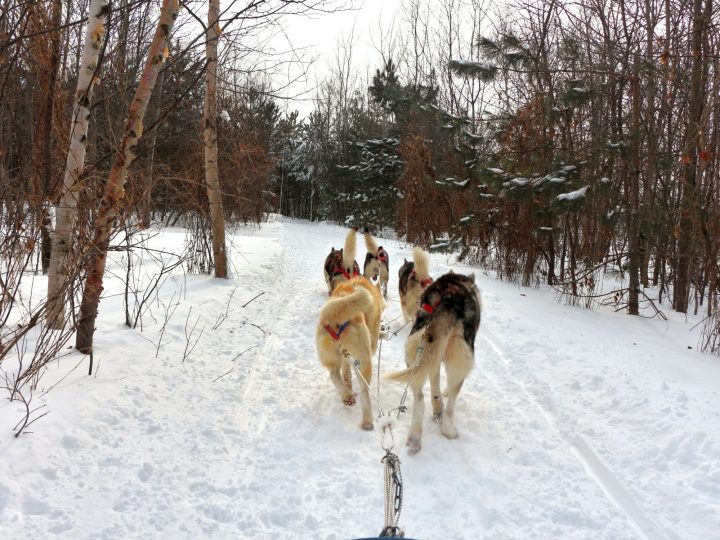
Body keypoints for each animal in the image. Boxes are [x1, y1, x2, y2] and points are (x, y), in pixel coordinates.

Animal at [314, 276, 386, 428]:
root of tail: (333, 314)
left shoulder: (345, 356)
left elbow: (346, 371)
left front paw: (348, 385)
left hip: (332, 356)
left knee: (334, 375)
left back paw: (347, 395)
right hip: (364, 361)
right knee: (365, 393)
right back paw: (367, 422)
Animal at [386, 272, 480, 454]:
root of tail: (447, 302)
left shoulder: (432, 360)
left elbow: (434, 388)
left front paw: (437, 407)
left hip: (415, 352)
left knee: (419, 397)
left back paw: (416, 437)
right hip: (459, 366)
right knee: (450, 407)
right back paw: (449, 432)